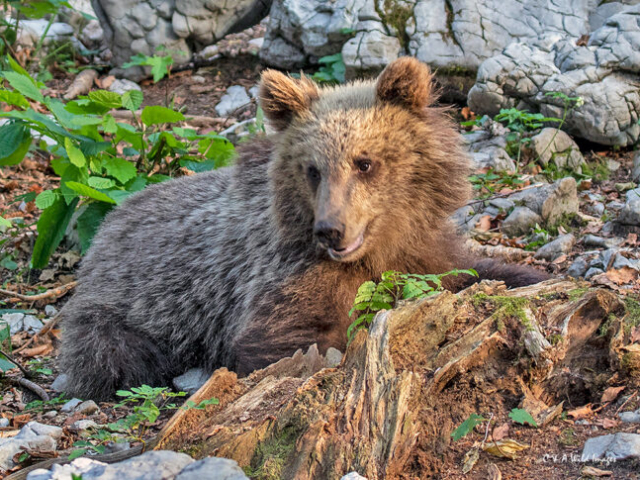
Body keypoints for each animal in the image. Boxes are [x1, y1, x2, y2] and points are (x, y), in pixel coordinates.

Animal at [58, 58, 548, 400]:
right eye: (313, 169)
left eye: (364, 162)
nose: (330, 230)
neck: (379, 246)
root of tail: (108, 223)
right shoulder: (281, 275)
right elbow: (281, 336)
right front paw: (321, 354)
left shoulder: (423, 250)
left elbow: (471, 271)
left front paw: (536, 276)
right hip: (122, 307)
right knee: (115, 356)